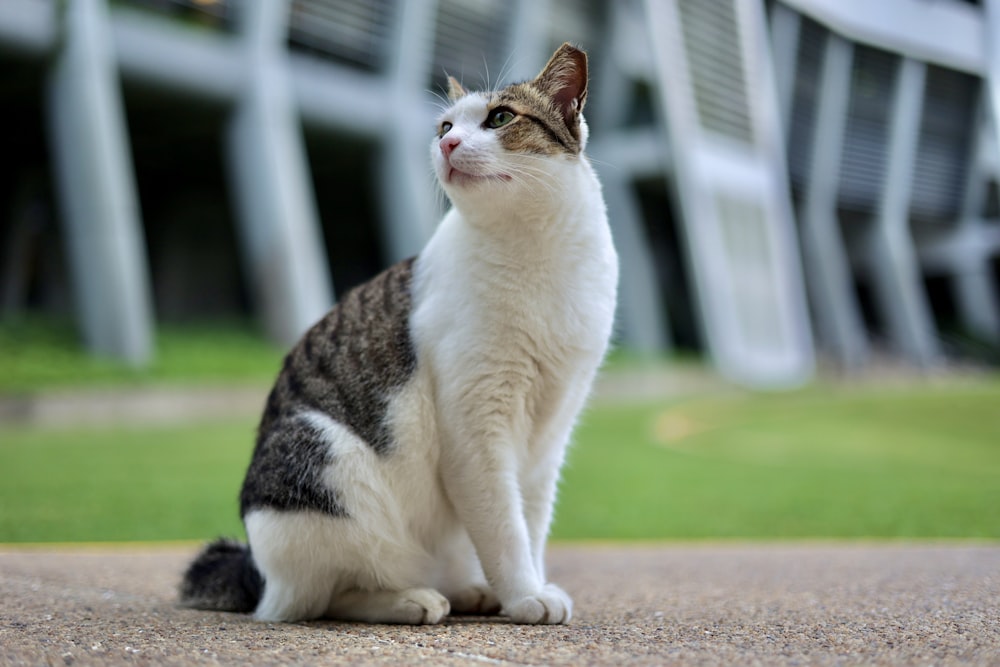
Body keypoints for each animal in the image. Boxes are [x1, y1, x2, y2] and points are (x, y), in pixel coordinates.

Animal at [180, 41, 616, 628]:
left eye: (501, 118)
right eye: (446, 126)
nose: (449, 143)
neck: (535, 253)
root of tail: (256, 570)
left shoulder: (552, 429)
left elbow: (533, 521)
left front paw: (526, 585)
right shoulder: (476, 426)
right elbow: (505, 526)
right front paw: (525, 595)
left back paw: (470, 590)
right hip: (320, 457)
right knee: (321, 597)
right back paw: (411, 599)